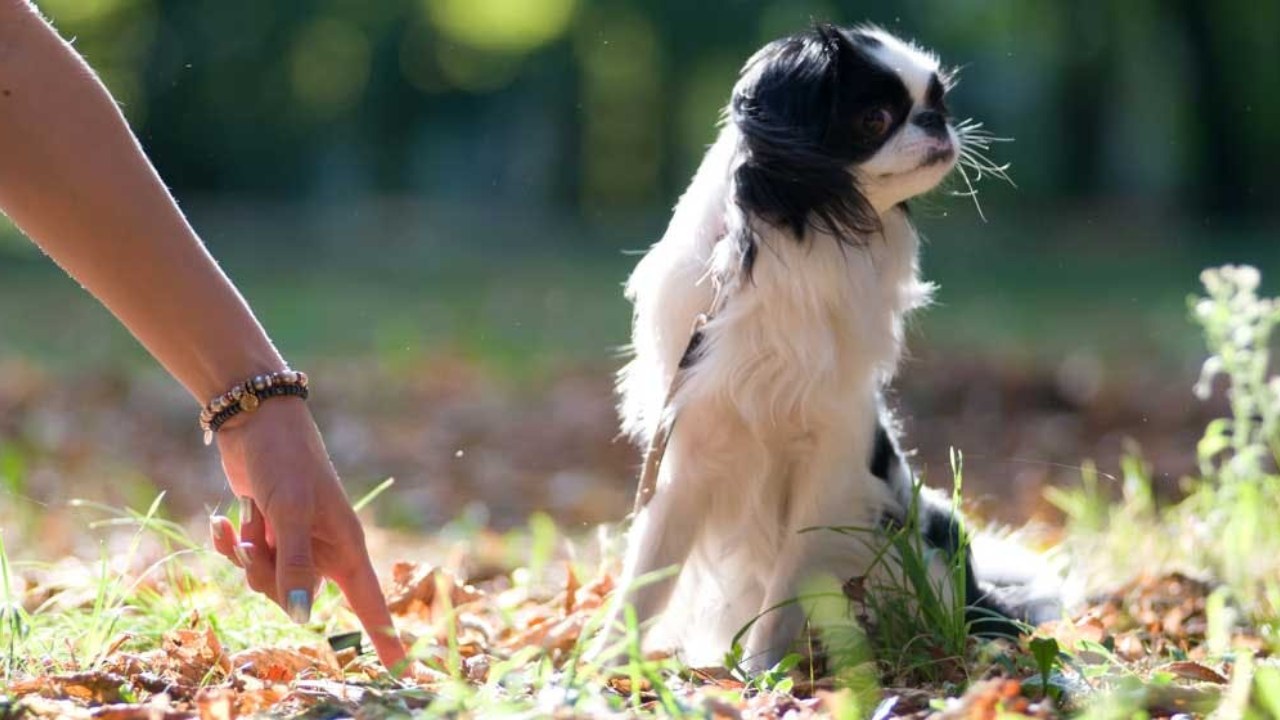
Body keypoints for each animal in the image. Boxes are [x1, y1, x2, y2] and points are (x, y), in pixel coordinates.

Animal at [599, 23, 1059, 671]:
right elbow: (647, 577)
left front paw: (759, 672)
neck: (802, 239)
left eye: (938, 102)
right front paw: (601, 665)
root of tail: (983, 594)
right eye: (874, 118)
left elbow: (786, 589)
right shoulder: (690, 458)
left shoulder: (826, 468)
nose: (936, 123)